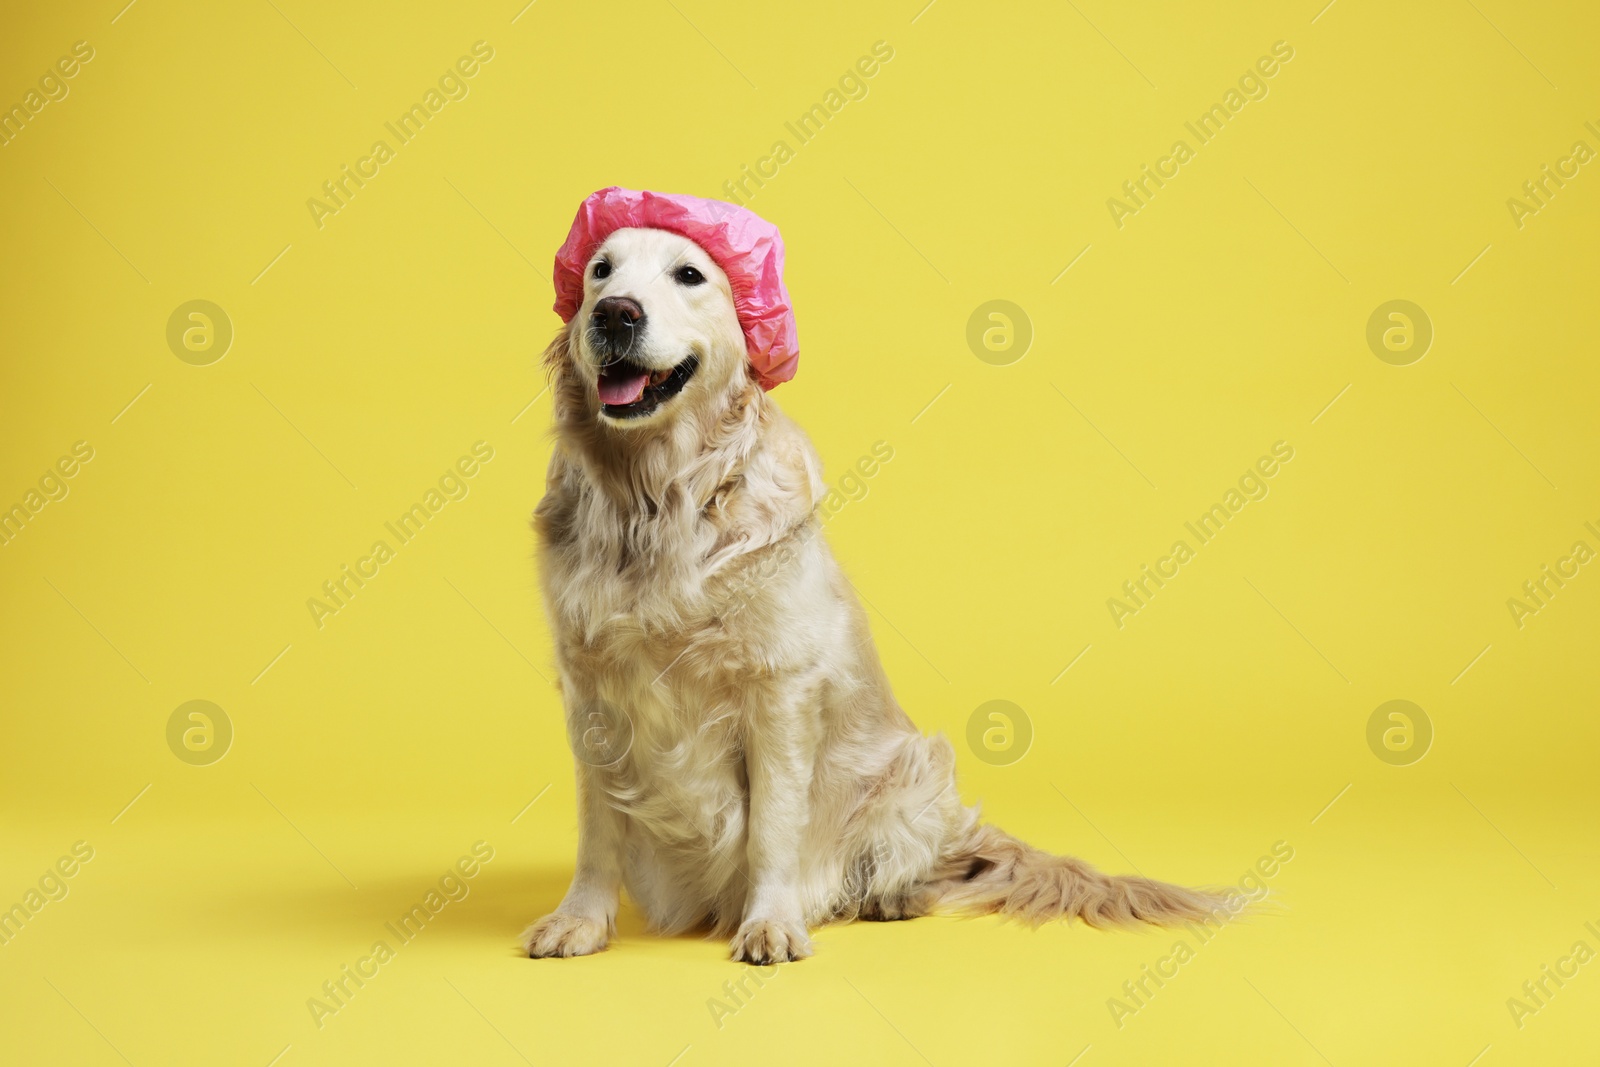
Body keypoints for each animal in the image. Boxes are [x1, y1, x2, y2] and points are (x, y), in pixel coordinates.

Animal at [524, 219, 1222, 966]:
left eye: (689, 275)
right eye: (600, 270)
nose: (615, 314)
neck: (657, 501)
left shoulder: (778, 687)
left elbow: (773, 827)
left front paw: (770, 922)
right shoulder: (590, 689)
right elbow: (598, 828)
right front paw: (580, 919)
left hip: (918, 769)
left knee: (919, 867)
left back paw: (891, 896)